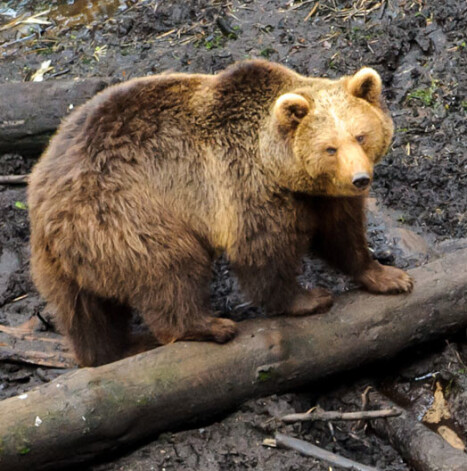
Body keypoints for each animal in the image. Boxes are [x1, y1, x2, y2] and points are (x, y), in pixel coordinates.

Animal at [27, 60, 414, 368]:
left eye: (361, 136)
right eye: (330, 148)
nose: (360, 179)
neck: (282, 170)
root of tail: (43, 195)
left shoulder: (320, 198)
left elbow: (342, 235)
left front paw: (388, 276)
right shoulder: (245, 186)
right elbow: (263, 252)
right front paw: (309, 298)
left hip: (64, 260)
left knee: (85, 312)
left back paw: (117, 349)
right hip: (125, 213)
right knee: (170, 266)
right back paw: (209, 326)